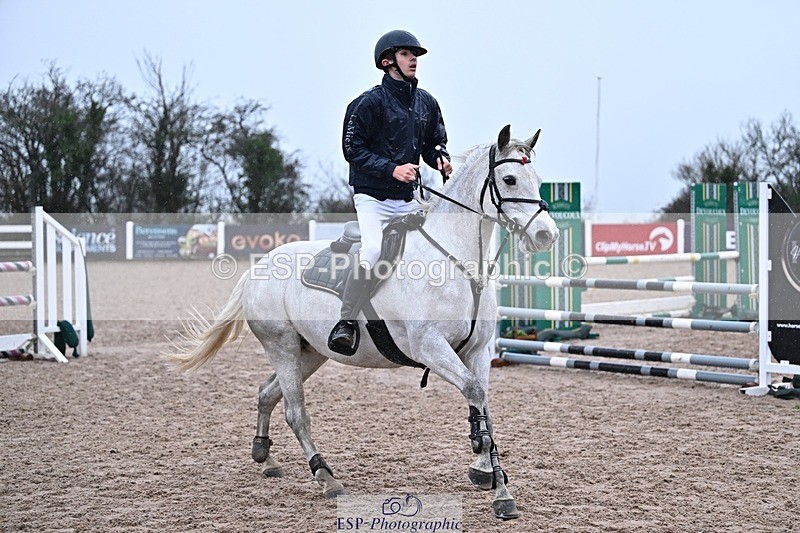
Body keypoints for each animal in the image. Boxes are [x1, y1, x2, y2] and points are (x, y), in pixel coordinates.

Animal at [166, 124, 559, 520]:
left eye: (539, 180)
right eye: (509, 179)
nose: (547, 235)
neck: (455, 261)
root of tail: (258, 267)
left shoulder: (476, 352)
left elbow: (483, 406)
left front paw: (485, 471)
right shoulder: (430, 347)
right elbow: (475, 395)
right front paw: (500, 490)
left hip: (310, 352)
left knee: (267, 392)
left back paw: (265, 456)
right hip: (282, 346)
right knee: (296, 412)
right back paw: (325, 476)